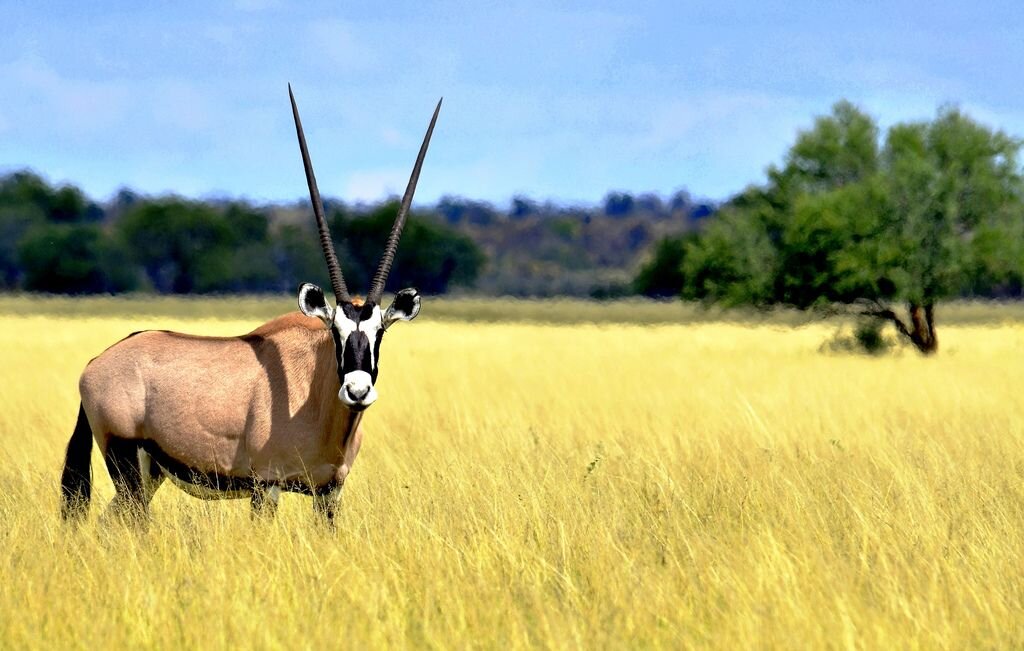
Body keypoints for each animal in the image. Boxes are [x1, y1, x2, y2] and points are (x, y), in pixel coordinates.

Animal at [57, 86, 440, 524]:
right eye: (335, 333)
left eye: (379, 333)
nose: (357, 390)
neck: (315, 395)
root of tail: (95, 364)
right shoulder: (265, 486)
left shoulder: (330, 493)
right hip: (126, 465)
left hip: (148, 472)